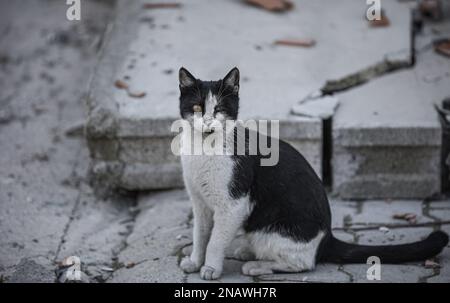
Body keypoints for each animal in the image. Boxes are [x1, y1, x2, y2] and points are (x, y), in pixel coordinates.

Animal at [178, 67, 448, 282]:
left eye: (220, 109)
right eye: (197, 107)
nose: (208, 124)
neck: (203, 150)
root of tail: (327, 236)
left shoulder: (233, 206)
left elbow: (215, 240)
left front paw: (211, 268)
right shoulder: (199, 202)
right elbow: (200, 234)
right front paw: (195, 261)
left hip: (272, 232)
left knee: (303, 263)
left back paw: (256, 264)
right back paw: (246, 251)